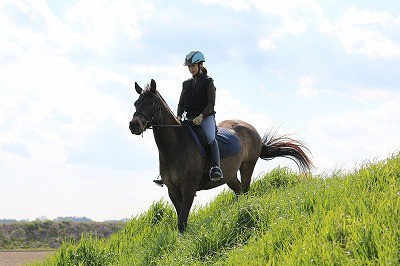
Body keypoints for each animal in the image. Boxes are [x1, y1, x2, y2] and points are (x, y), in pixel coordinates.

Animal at [130, 79, 314, 233]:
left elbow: (182, 221)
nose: (134, 125)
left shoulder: (189, 189)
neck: (175, 148)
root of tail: (251, 129)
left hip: (247, 166)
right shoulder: (172, 191)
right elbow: (181, 220)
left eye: (152, 103)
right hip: (230, 176)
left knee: (245, 189)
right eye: (136, 103)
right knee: (239, 191)